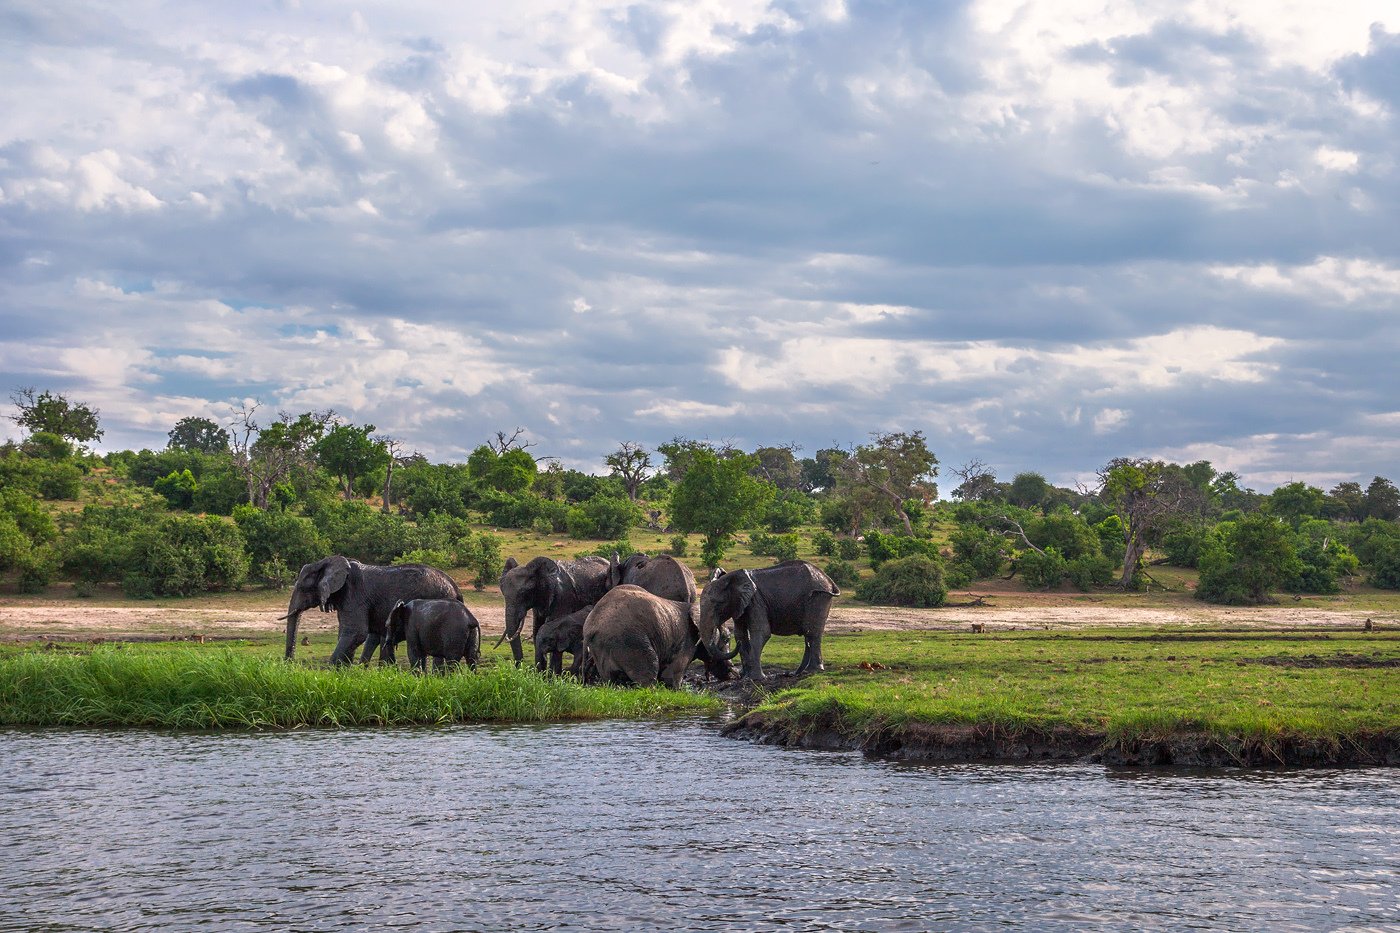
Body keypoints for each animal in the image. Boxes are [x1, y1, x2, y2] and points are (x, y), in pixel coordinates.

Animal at [281, 554, 462, 664]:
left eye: (302, 588)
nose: (289, 666)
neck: (326, 562)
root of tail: (454, 586)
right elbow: (347, 633)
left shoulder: (354, 594)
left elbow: (356, 632)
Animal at [579, 585, 739, 686]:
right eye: (726, 638)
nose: (732, 675)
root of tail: (590, 627)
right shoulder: (687, 638)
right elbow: (673, 675)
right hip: (628, 640)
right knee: (649, 670)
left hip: (601, 646)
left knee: (610, 680)